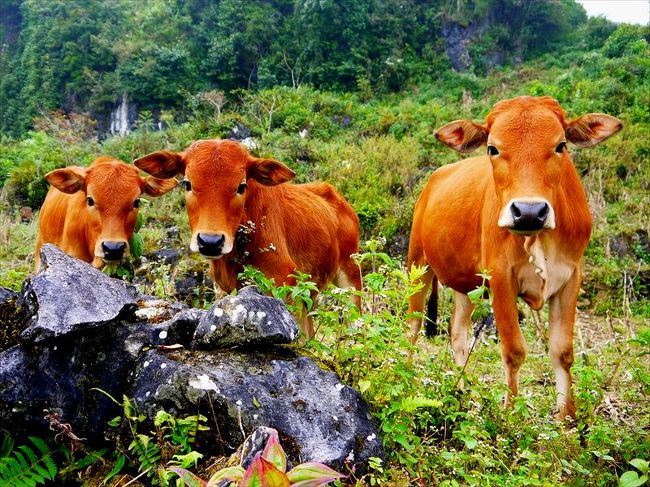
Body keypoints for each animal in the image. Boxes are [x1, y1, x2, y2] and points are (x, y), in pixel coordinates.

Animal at [134, 140, 362, 340]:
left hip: (351, 275)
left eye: (241, 186)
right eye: (188, 184)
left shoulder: (282, 281)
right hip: (309, 294)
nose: (210, 241)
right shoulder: (224, 288)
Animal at [408, 96, 620, 420]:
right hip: (418, 264)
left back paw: (461, 390)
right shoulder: (501, 279)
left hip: (467, 285)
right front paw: (511, 414)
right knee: (412, 328)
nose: (529, 212)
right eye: (492, 149)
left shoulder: (571, 277)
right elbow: (514, 351)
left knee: (457, 332)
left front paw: (567, 416)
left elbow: (562, 351)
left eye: (561, 145)